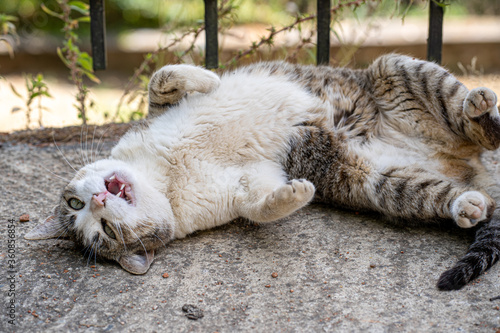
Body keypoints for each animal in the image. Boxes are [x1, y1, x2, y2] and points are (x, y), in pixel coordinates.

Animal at [25, 53, 500, 288]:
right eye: (101, 232)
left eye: (75, 203)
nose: (98, 198)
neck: (166, 177)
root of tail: (464, 164)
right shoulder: (245, 184)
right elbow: (260, 204)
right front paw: (293, 195)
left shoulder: (155, 112)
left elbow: (163, 77)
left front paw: (210, 78)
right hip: (380, 183)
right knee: (455, 192)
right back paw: (467, 204)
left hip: (392, 68)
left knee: (481, 129)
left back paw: (477, 105)